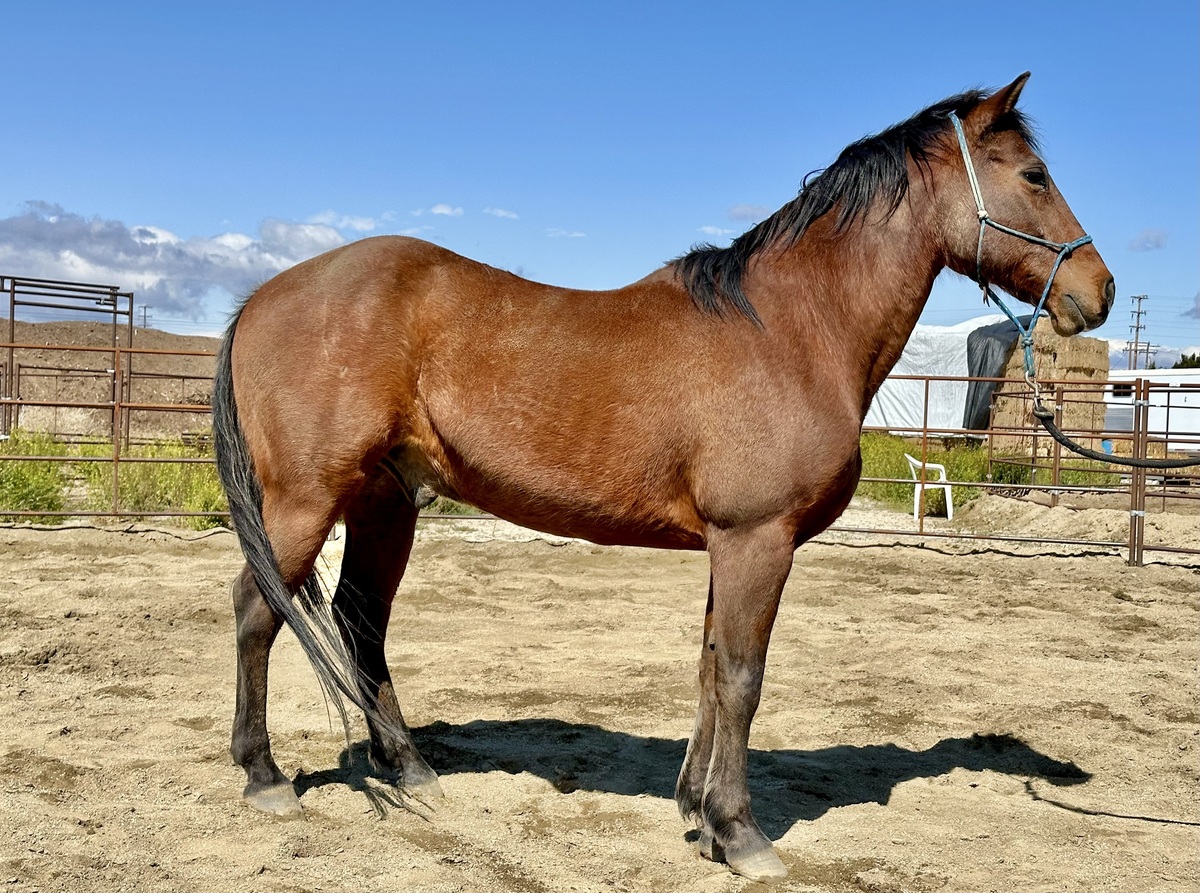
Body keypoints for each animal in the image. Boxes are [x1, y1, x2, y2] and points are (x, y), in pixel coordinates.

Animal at [212, 73, 1113, 880]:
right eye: (1034, 175)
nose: (1097, 290)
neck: (793, 328)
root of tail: (263, 295)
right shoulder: (757, 538)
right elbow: (742, 678)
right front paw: (742, 833)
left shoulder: (733, 544)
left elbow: (711, 667)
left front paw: (697, 812)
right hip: (305, 501)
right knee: (258, 608)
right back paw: (264, 775)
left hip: (385, 502)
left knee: (361, 619)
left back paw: (408, 765)